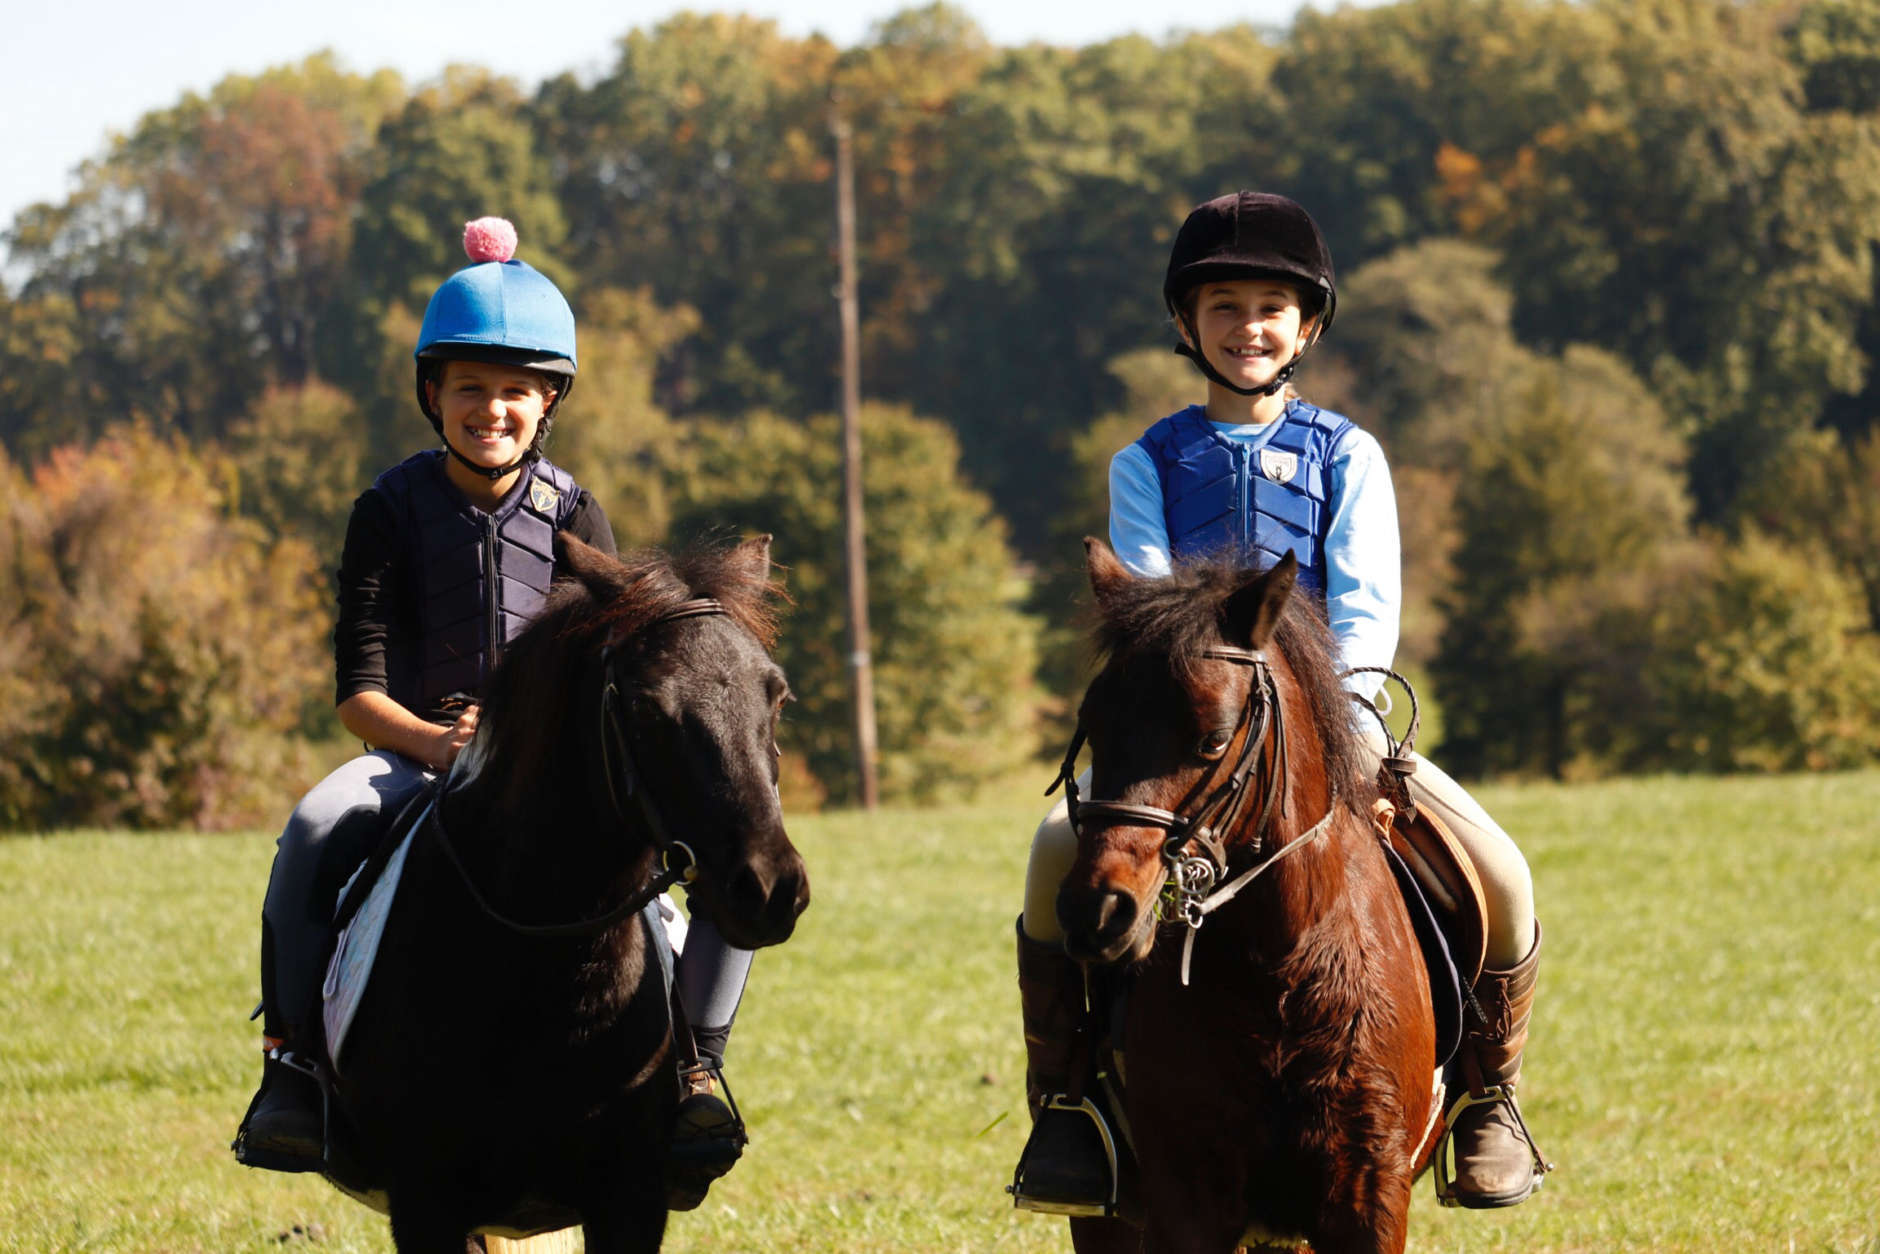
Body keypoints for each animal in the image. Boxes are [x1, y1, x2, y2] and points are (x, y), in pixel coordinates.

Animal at [1052, 541, 1428, 1254]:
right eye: (1094, 730)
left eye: (1214, 739)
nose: (1097, 913)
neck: (1279, 961)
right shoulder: (1188, 1199)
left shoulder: (1368, 1192)